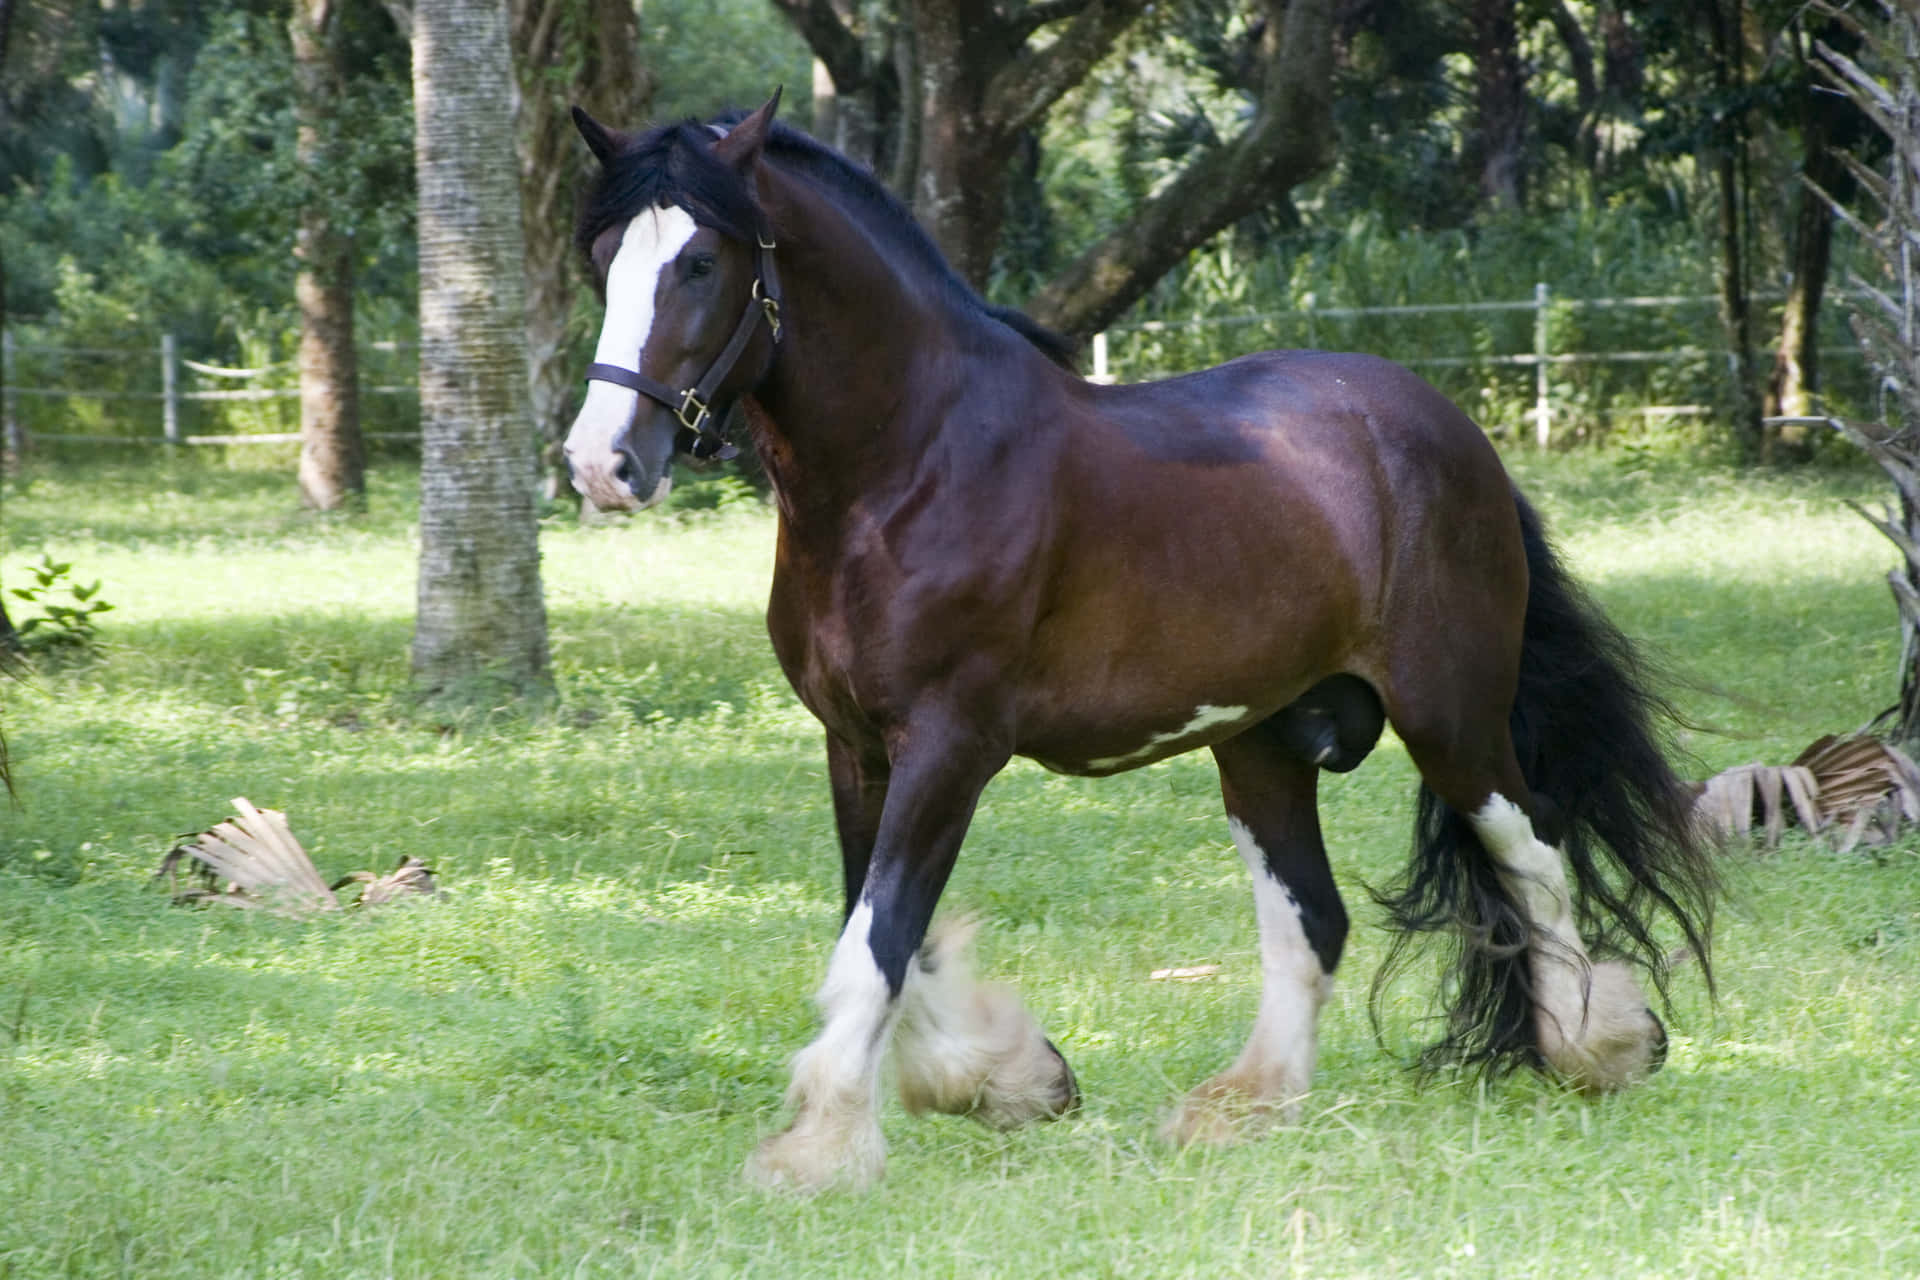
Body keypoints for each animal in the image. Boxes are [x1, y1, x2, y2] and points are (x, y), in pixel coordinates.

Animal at [561, 93, 1717, 1192]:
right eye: (603, 257)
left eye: (699, 261)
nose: (602, 464)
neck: (913, 464)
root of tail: (1449, 429)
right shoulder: (856, 745)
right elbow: (885, 928)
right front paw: (1007, 1077)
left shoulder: (950, 745)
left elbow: (878, 940)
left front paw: (822, 1147)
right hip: (1263, 743)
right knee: (1315, 919)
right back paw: (1244, 1105)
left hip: (1452, 716)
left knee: (1533, 854)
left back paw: (1598, 1045)